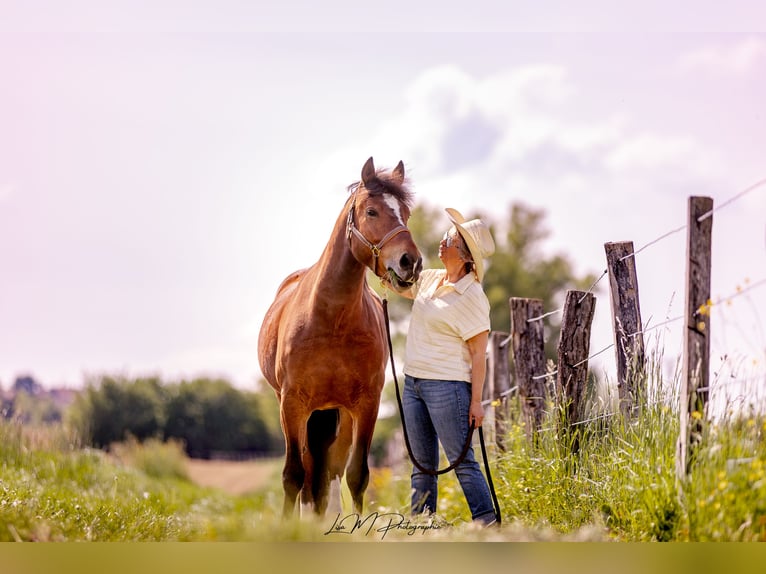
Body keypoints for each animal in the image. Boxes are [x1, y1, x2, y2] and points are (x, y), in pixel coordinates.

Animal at [258, 157, 422, 518]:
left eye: (406, 213)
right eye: (371, 211)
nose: (411, 262)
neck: (332, 320)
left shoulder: (366, 403)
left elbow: (356, 475)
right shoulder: (291, 403)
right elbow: (293, 474)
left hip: (338, 415)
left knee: (328, 472)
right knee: (308, 472)